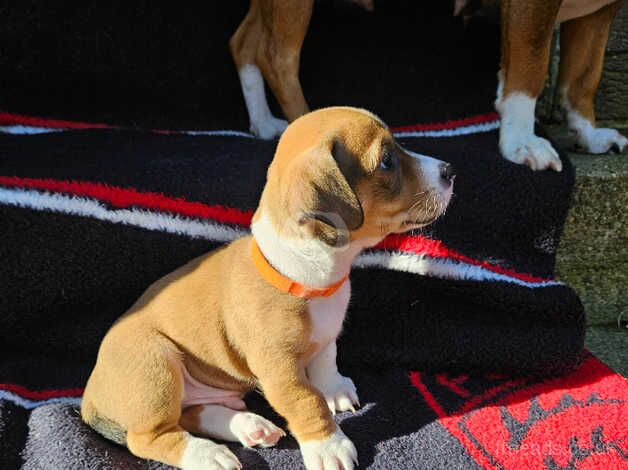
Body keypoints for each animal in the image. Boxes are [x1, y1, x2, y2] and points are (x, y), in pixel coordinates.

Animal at [84, 106, 456, 470]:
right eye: (387, 161)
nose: (450, 170)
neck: (310, 274)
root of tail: (89, 396)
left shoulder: (326, 337)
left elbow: (326, 360)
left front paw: (334, 388)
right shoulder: (280, 371)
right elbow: (307, 401)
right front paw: (328, 445)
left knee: (192, 413)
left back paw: (250, 426)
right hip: (157, 366)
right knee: (151, 437)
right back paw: (207, 455)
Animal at [232, 0, 628, 173]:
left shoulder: (600, 11)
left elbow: (584, 76)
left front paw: (589, 133)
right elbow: (530, 66)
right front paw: (522, 143)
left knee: (244, 44)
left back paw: (263, 122)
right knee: (277, 55)